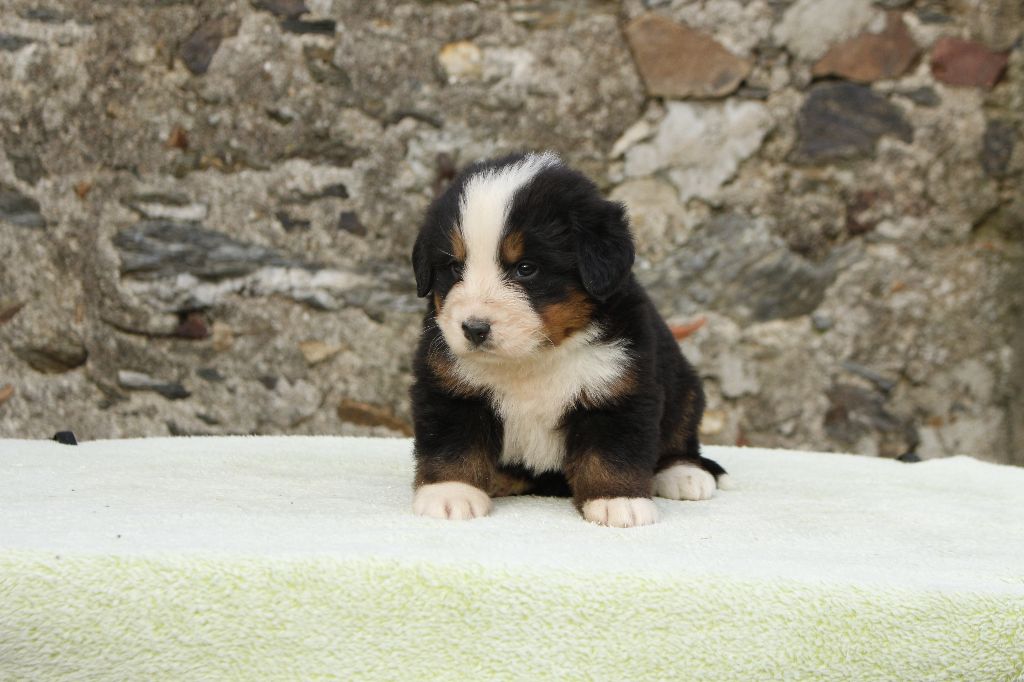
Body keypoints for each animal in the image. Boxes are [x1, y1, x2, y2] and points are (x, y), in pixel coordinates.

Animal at [405, 152, 729, 524]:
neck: (532, 359)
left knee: (680, 437)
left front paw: (618, 500)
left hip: (684, 388)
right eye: (455, 268)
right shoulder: (450, 388)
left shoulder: (619, 388)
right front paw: (450, 493)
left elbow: (612, 452)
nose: (474, 328)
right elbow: (452, 445)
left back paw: (683, 473)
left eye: (526, 268)